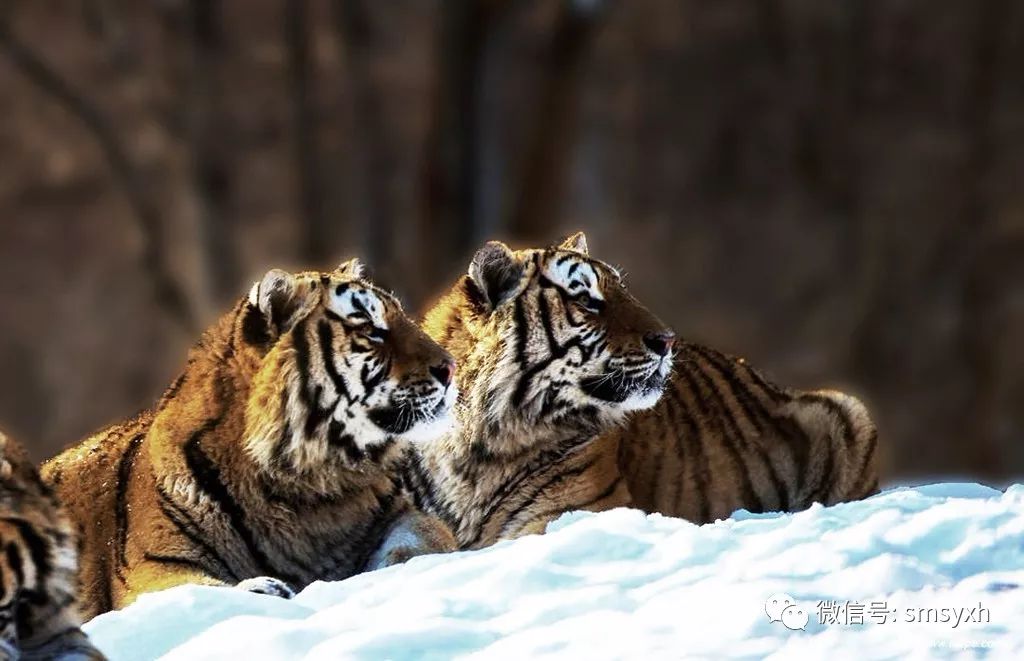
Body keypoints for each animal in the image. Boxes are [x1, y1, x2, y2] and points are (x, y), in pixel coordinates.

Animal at [38, 258, 456, 622]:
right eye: (372, 330)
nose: (449, 366)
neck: (308, 487)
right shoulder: (158, 562)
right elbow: (195, 588)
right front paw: (263, 589)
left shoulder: (397, 513)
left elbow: (426, 536)